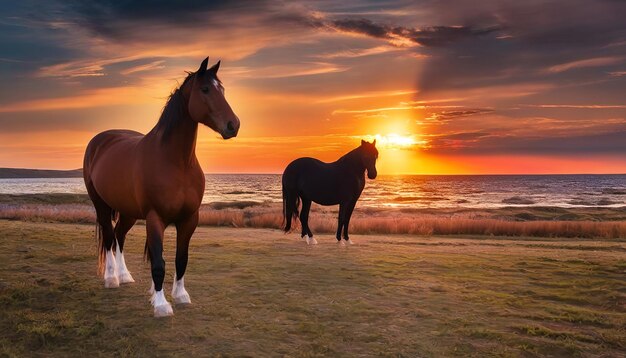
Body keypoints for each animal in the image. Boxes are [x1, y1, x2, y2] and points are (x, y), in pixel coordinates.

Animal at [83, 57, 239, 318]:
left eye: (223, 90)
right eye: (205, 89)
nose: (233, 125)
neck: (177, 162)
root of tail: (100, 141)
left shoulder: (189, 219)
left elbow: (181, 259)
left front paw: (181, 295)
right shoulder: (155, 218)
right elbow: (158, 263)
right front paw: (161, 304)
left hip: (128, 211)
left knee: (119, 236)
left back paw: (125, 276)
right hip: (102, 206)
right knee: (108, 237)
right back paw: (112, 278)